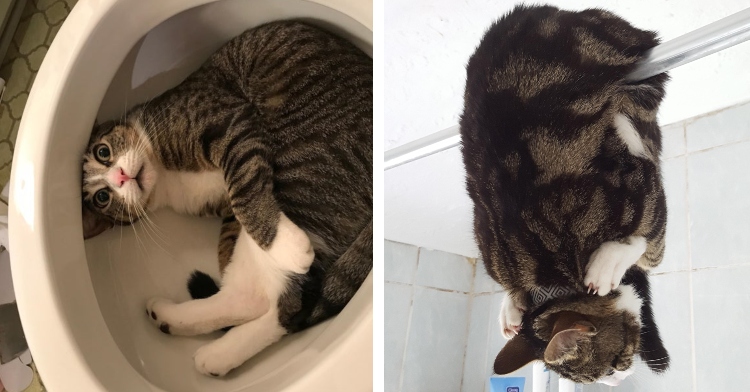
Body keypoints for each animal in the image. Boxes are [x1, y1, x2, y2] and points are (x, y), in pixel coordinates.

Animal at [80, 20, 374, 376]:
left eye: (103, 152)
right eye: (102, 197)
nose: (121, 177)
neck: (164, 178)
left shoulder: (230, 124)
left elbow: (245, 194)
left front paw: (287, 246)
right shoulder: (223, 207)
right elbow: (236, 223)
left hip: (307, 168)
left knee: (284, 303)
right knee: (262, 299)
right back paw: (182, 328)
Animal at [462, 5, 672, 386]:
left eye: (614, 365)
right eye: (605, 372)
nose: (616, 381)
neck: (553, 283)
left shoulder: (643, 194)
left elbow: (649, 244)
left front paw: (609, 261)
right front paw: (511, 306)